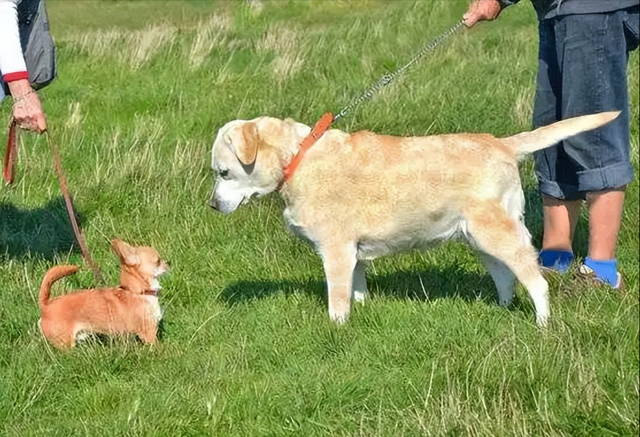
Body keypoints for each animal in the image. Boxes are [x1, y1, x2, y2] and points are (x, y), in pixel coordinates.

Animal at [210, 110, 620, 326]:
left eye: (224, 172)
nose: (213, 205)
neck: (297, 158)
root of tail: (500, 143)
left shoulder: (336, 249)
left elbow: (338, 297)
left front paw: (336, 327)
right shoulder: (354, 253)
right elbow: (359, 287)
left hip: (496, 232)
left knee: (534, 280)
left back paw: (542, 323)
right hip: (480, 237)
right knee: (505, 276)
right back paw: (502, 309)